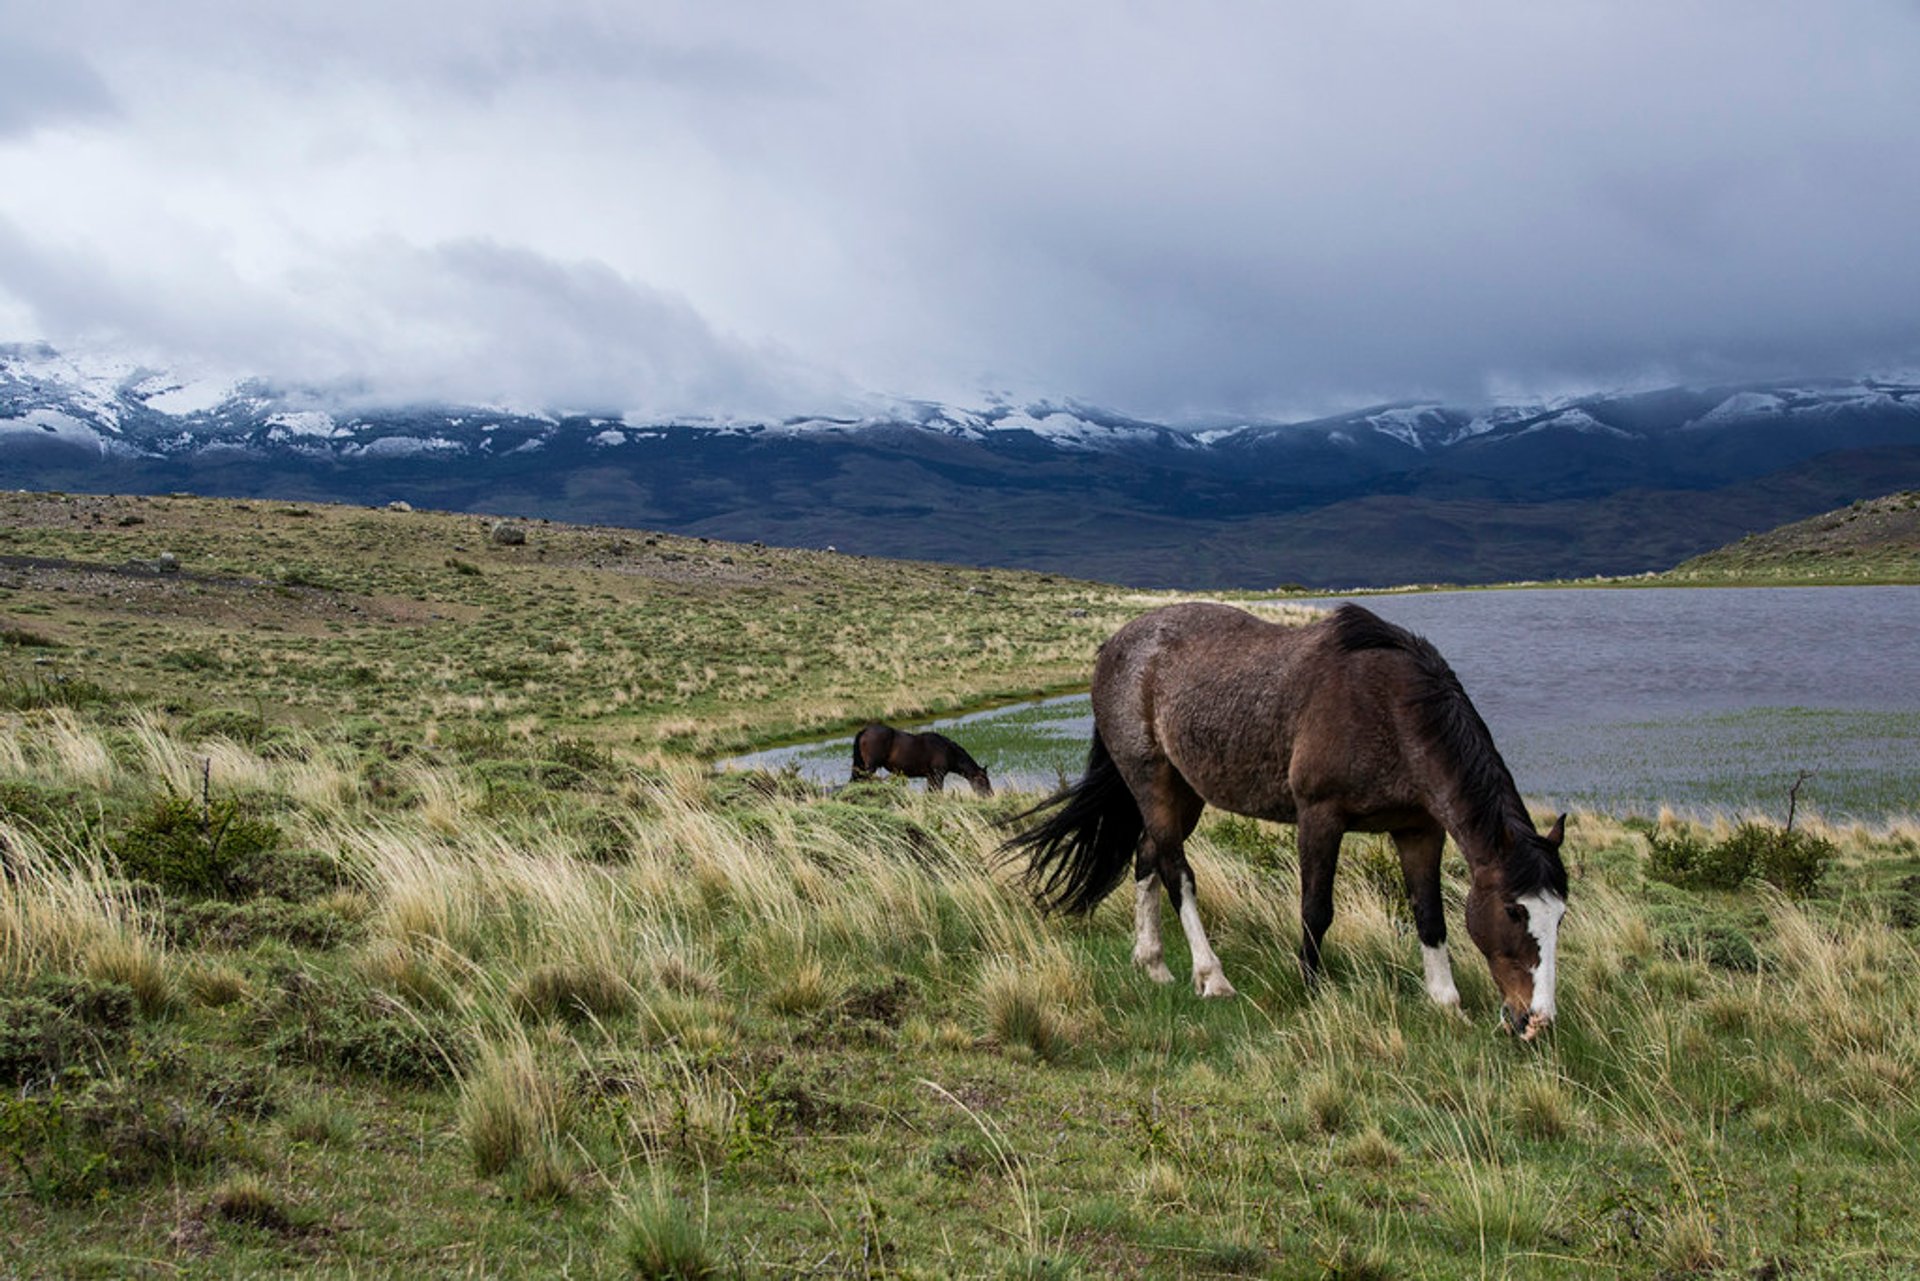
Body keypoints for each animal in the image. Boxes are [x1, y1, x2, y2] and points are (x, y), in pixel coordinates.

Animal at [860, 725, 998, 795]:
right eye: (984, 781)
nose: (991, 795)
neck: (947, 750)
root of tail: (865, 730)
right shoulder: (938, 775)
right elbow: (937, 792)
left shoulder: (930, 776)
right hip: (870, 768)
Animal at [998, 603, 1566, 1044]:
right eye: (1514, 912)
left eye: (1558, 917)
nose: (1536, 1020)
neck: (1389, 707)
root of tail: (1115, 645)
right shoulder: (1320, 817)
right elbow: (1316, 909)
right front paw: (1312, 991)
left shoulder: (1419, 830)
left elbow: (1430, 915)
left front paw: (1446, 1002)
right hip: (1150, 779)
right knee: (1176, 871)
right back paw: (1211, 976)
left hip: (1185, 791)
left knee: (1147, 857)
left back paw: (1153, 962)